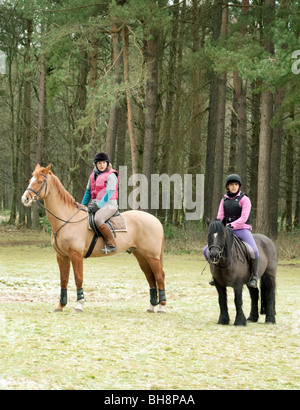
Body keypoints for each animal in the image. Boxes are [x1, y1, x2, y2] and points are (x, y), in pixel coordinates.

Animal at [21, 165, 166, 312]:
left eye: (39, 181)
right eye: (30, 180)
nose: (25, 198)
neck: (67, 220)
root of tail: (156, 221)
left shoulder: (76, 255)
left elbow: (78, 278)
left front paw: (79, 304)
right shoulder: (62, 256)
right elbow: (64, 279)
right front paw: (60, 305)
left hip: (152, 256)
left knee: (159, 276)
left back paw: (162, 306)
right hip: (141, 255)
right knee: (150, 277)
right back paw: (152, 306)